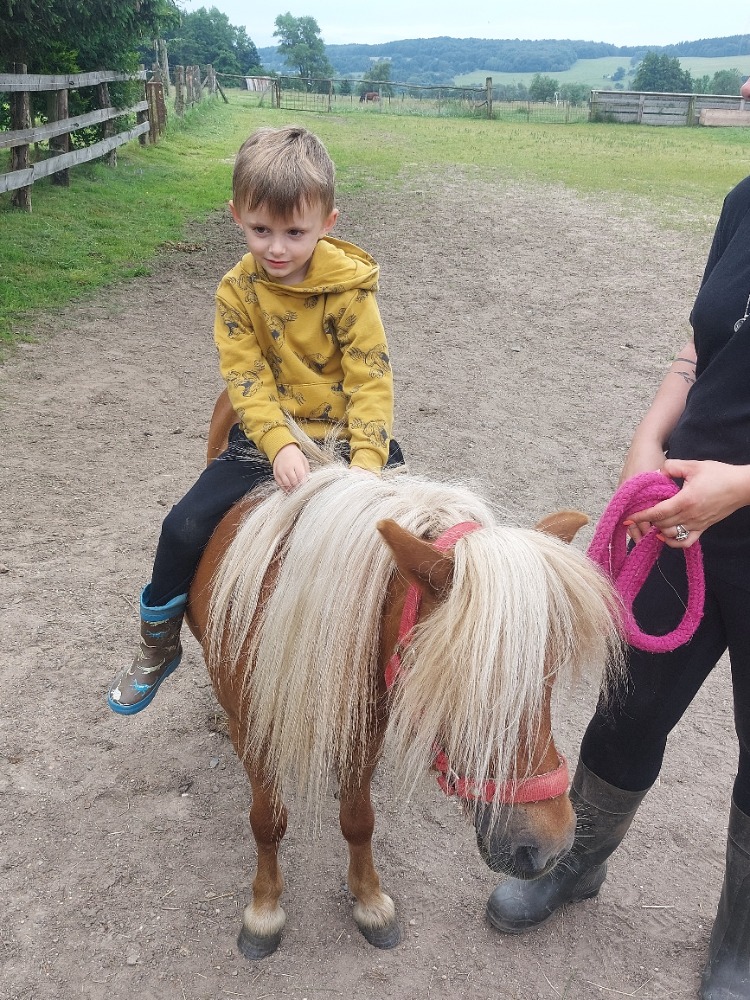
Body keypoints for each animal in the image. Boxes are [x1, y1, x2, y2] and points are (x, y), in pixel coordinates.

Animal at [186, 396, 622, 959]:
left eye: (548, 674)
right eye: (462, 678)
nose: (551, 844)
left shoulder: (367, 727)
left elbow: (358, 818)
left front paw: (370, 901)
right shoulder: (254, 732)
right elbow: (268, 820)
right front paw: (264, 911)